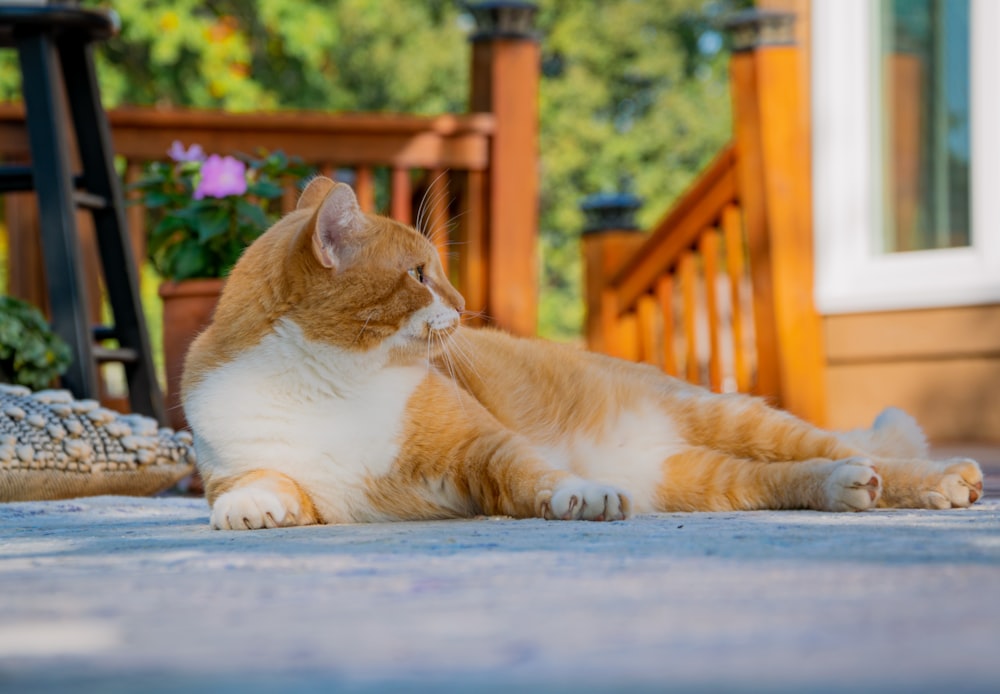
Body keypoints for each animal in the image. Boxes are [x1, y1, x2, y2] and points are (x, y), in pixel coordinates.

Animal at [182, 179, 984, 532]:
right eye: (418, 275)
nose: (463, 301)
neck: (328, 380)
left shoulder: (479, 446)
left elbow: (535, 472)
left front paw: (581, 495)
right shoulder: (249, 465)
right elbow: (259, 482)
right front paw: (251, 507)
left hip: (733, 417)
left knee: (842, 449)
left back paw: (942, 480)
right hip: (697, 479)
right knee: (785, 480)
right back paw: (845, 489)